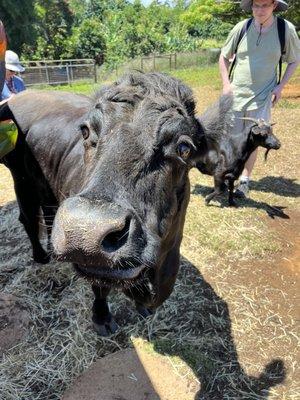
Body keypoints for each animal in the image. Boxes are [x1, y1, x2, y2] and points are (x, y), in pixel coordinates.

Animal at [0, 73, 205, 336]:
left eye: (184, 147)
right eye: (86, 131)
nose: (85, 231)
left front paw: (143, 309)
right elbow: (100, 288)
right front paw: (102, 318)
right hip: (22, 182)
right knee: (27, 218)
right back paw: (41, 256)